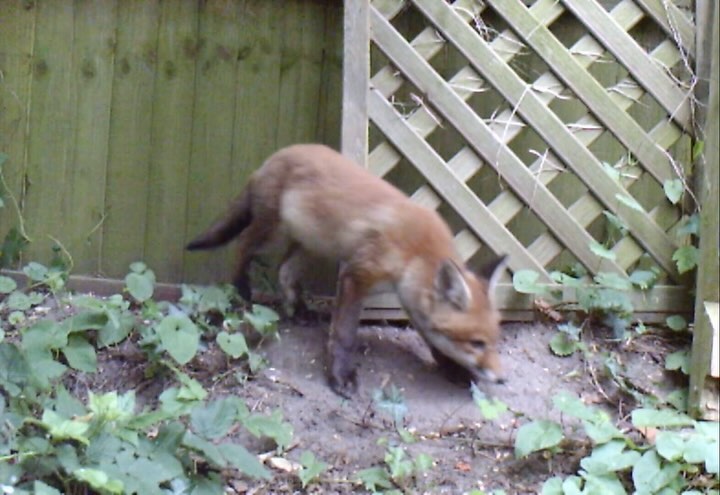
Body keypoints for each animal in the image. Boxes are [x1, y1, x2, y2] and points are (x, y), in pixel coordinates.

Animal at [186, 144, 508, 398]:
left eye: (494, 342)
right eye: (477, 343)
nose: (503, 379)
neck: (416, 252)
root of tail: (276, 156)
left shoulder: (410, 297)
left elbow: (432, 338)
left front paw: (452, 369)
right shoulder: (357, 275)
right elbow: (344, 334)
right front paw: (341, 376)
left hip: (310, 244)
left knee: (285, 271)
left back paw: (300, 310)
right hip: (272, 233)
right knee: (243, 246)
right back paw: (242, 289)